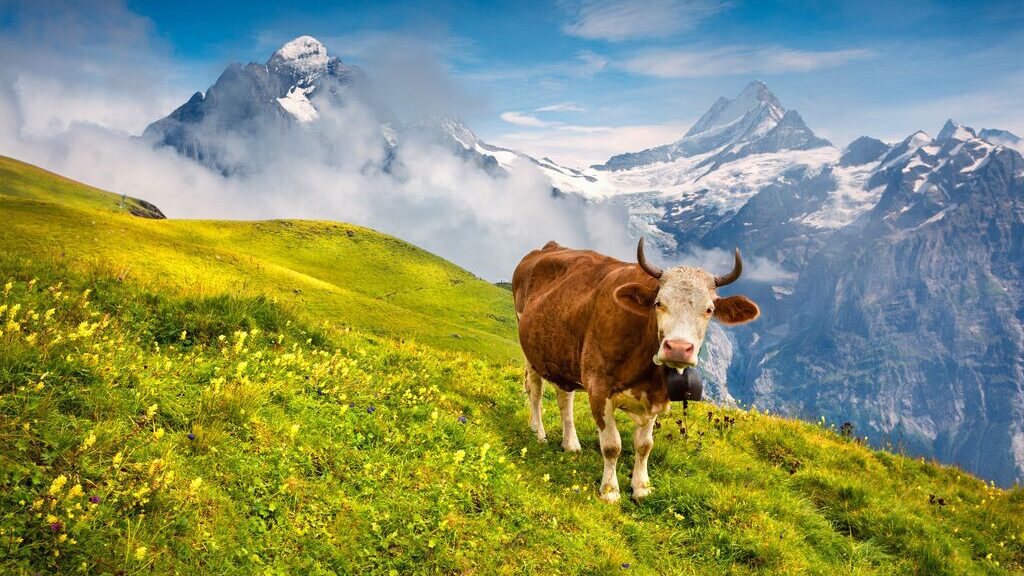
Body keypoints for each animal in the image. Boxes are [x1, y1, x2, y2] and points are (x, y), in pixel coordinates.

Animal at [512, 238, 760, 502]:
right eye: (658, 303)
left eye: (709, 309)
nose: (678, 348)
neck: (646, 373)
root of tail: (548, 247)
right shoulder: (598, 387)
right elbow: (612, 446)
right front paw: (610, 491)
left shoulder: (656, 398)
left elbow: (645, 445)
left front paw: (641, 487)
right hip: (530, 351)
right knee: (535, 391)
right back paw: (539, 433)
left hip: (561, 355)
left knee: (564, 398)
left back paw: (571, 444)